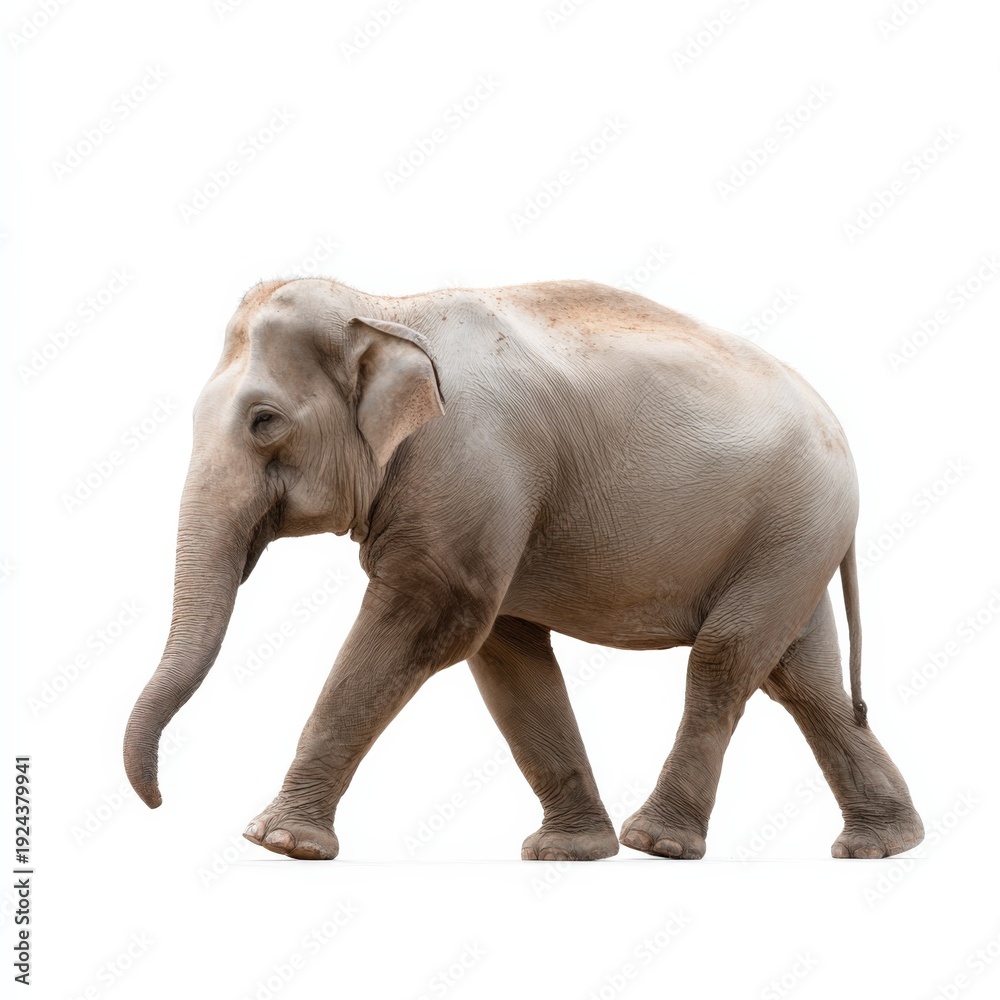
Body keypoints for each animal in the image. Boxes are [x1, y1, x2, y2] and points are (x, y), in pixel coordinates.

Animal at [123, 277, 924, 862]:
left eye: (264, 421)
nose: (161, 801)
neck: (387, 307)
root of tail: (839, 427)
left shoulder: (470, 461)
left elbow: (433, 617)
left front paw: (278, 842)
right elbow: (504, 651)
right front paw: (567, 852)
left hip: (796, 520)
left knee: (726, 660)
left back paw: (658, 843)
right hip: (796, 538)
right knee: (803, 678)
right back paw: (882, 846)